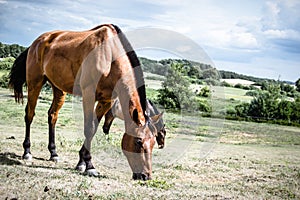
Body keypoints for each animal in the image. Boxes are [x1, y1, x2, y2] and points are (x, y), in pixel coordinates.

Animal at [7, 23, 162, 180]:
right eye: (138, 141)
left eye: (153, 142)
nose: (145, 176)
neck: (109, 53)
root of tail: (36, 43)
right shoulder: (88, 95)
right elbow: (88, 128)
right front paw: (89, 166)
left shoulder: (106, 101)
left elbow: (93, 129)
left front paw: (81, 162)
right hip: (35, 83)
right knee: (29, 115)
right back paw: (27, 152)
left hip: (58, 89)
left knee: (52, 116)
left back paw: (53, 153)